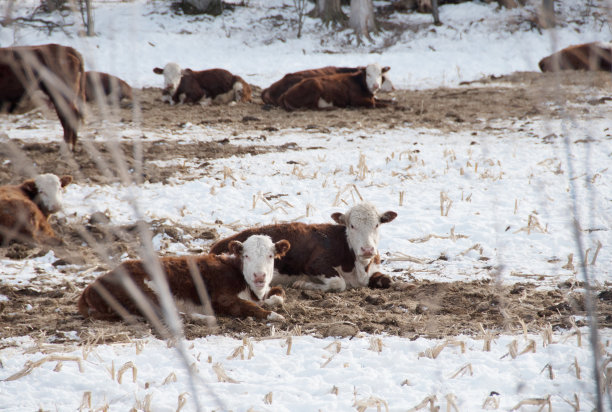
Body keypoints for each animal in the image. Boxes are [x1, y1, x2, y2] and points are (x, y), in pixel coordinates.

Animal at [77, 235, 290, 322]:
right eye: (246, 256)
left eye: (270, 256)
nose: (259, 275)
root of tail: (92, 285)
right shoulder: (221, 298)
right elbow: (250, 307)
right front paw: (275, 316)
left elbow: (278, 295)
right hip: (145, 293)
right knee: (168, 314)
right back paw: (203, 317)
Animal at [208, 203, 400, 292]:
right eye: (352, 226)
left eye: (377, 225)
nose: (367, 249)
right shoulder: (315, 263)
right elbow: (339, 282)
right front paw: (304, 284)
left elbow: (388, 280)